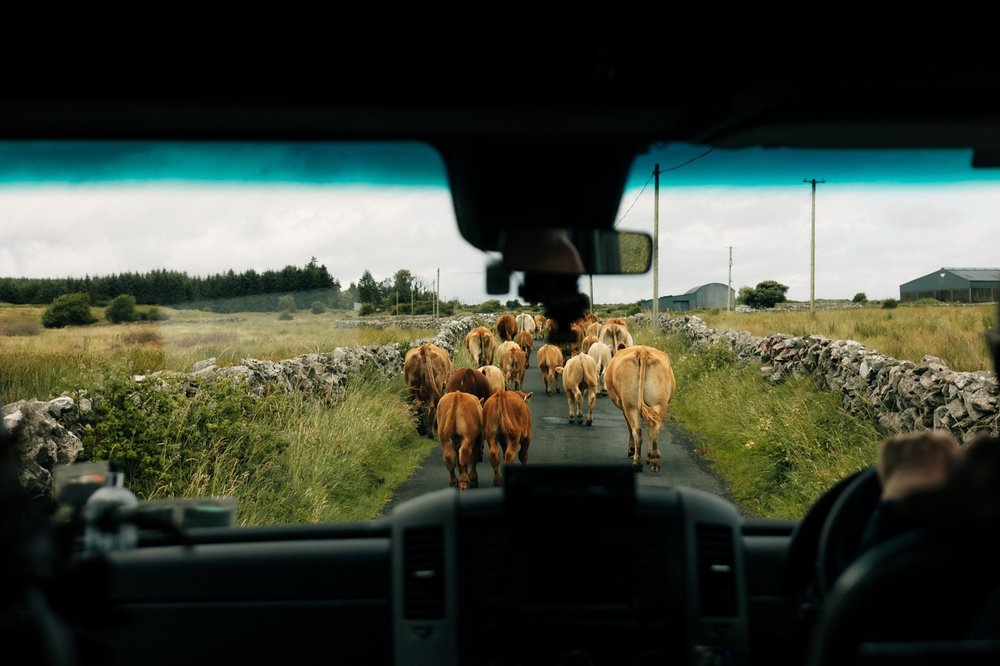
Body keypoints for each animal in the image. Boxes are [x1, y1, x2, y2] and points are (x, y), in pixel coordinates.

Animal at [604, 342, 676, 472]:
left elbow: (629, 427)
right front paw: (649, 455)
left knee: (637, 430)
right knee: (654, 428)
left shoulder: (623, 407)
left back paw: (637, 462)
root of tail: (643, 351)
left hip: (630, 405)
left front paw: (631, 450)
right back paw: (654, 459)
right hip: (658, 403)